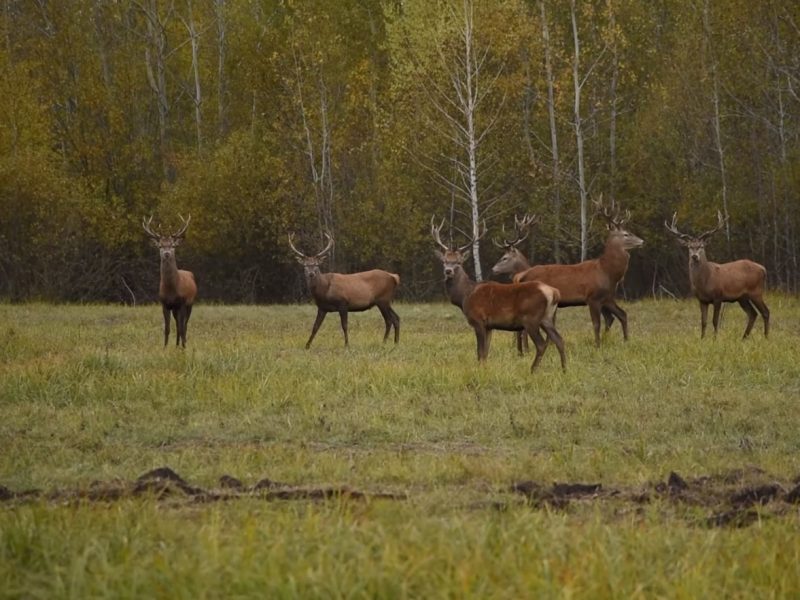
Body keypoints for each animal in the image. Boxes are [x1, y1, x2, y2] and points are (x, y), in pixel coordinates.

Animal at [142, 214, 197, 346]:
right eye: (160, 246)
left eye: (172, 245)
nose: (167, 253)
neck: (172, 290)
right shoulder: (165, 304)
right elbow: (167, 329)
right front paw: (165, 347)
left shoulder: (182, 303)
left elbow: (182, 328)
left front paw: (184, 347)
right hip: (175, 309)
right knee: (177, 325)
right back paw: (176, 345)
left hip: (190, 303)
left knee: (184, 326)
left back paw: (182, 344)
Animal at [432, 218, 568, 372]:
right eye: (444, 261)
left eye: (458, 262)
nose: (448, 271)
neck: (465, 296)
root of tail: (554, 292)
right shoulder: (489, 326)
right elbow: (485, 353)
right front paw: (485, 369)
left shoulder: (478, 320)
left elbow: (479, 352)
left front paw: (479, 370)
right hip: (547, 318)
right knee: (559, 340)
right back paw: (564, 369)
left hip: (531, 318)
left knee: (541, 344)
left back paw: (533, 370)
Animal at [500, 197, 648, 346]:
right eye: (626, 234)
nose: (642, 241)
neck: (606, 271)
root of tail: (521, 276)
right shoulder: (592, 297)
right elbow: (596, 324)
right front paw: (597, 345)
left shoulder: (605, 297)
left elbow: (616, 316)